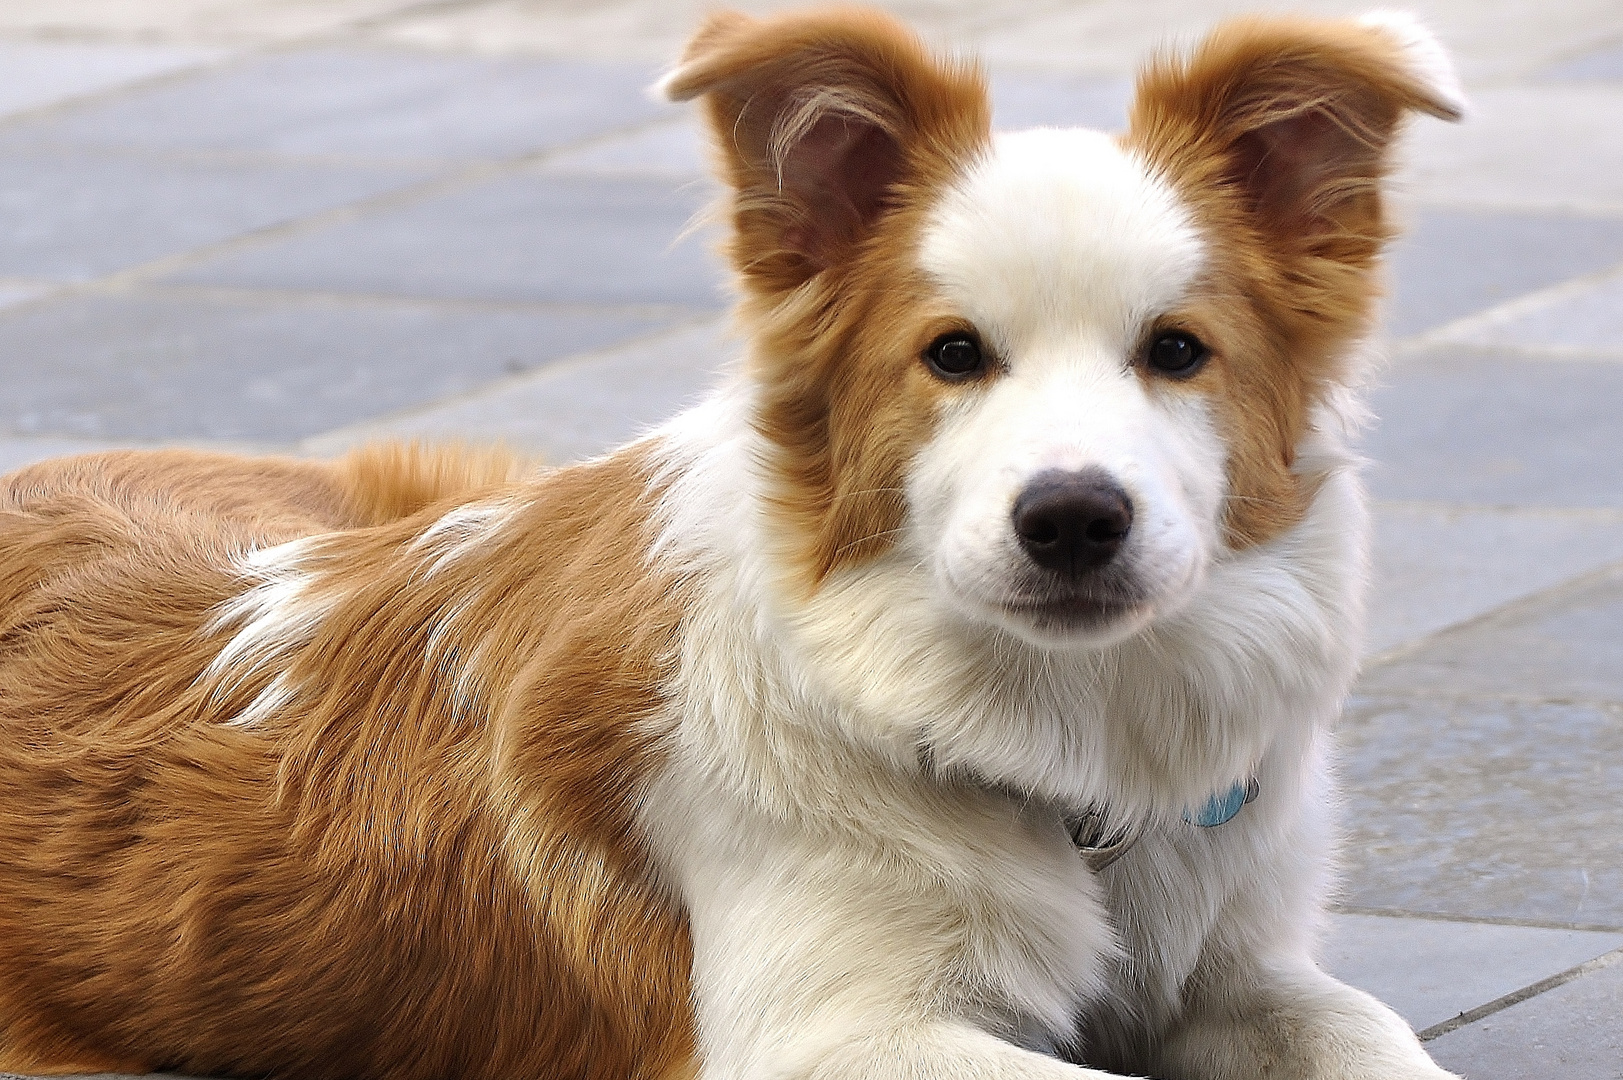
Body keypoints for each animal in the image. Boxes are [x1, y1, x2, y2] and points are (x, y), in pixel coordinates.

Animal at [0, 8, 1467, 1078]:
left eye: (1177, 351)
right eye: (951, 355)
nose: (1070, 519)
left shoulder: (1240, 965)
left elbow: (1371, 1031)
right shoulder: (831, 1037)